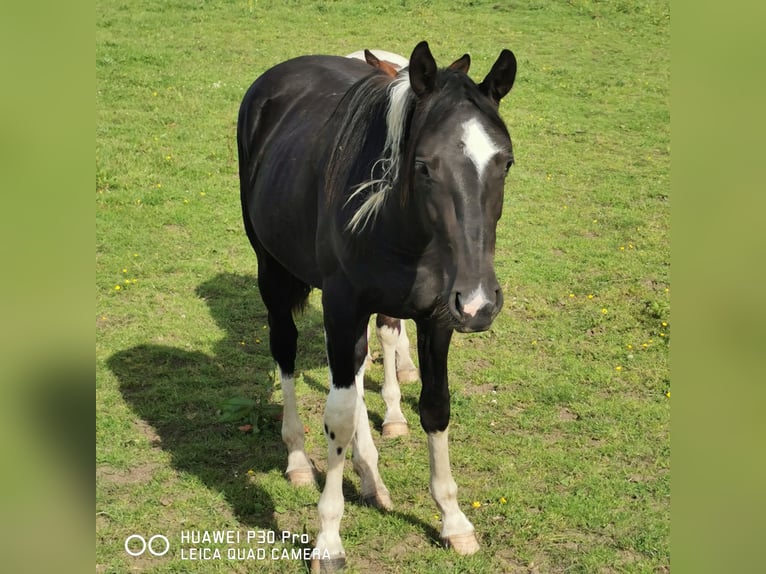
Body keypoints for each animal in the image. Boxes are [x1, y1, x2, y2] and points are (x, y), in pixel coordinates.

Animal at [238, 40, 517, 572]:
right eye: (424, 165)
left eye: (505, 162)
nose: (480, 302)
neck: (401, 227)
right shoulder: (343, 306)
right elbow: (340, 417)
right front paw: (328, 538)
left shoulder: (436, 318)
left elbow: (434, 406)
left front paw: (453, 521)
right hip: (272, 271)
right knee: (285, 351)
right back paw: (299, 459)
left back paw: (370, 477)